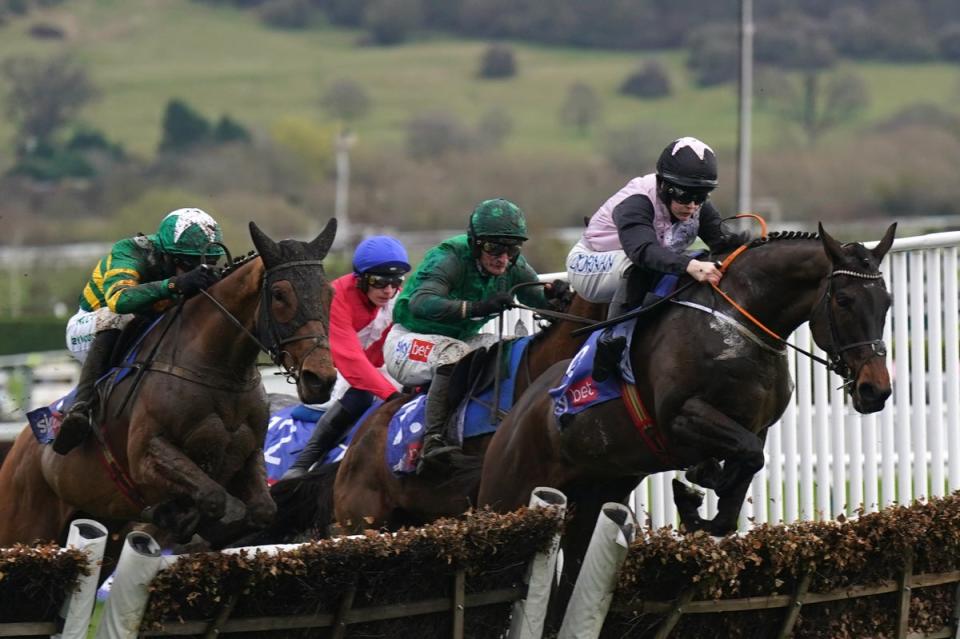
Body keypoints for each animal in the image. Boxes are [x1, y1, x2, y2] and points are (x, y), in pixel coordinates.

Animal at [0, 221, 342, 552]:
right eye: (280, 294)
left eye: (329, 294)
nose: (320, 378)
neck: (217, 373)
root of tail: (21, 444)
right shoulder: (146, 457)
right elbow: (217, 500)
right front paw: (183, 517)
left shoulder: (249, 455)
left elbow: (262, 510)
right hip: (24, 526)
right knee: (112, 315)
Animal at [476, 224, 896, 616]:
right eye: (843, 300)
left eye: (887, 302)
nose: (875, 390)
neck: (736, 321)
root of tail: (514, 414)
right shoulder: (679, 417)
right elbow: (742, 457)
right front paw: (697, 484)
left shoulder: (756, 427)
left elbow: (741, 481)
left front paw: (700, 497)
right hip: (508, 495)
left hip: (593, 498)